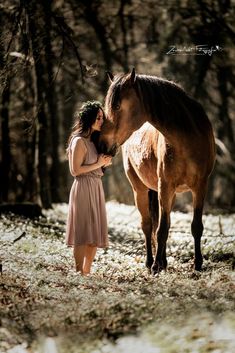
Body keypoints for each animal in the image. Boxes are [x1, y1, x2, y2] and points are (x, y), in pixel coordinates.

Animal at [99, 68, 215, 272]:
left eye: (118, 106)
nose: (102, 145)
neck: (187, 140)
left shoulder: (200, 186)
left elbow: (195, 226)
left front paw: (198, 263)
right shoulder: (165, 186)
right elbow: (161, 229)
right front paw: (155, 266)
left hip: (170, 193)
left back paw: (162, 261)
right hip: (141, 190)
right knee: (148, 225)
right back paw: (151, 261)